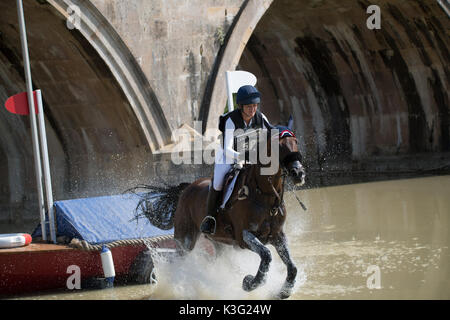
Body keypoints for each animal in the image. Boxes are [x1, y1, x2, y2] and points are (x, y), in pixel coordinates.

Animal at [135, 125, 306, 300]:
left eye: (296, 142)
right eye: (279, 147)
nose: (299, 173)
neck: (264, 196)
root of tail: (186, 188)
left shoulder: (278, 235)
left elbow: (292, 267)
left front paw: (284, 291)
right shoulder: (244, 236)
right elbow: (266, 255)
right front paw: (249, 282)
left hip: (219, 241)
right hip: (185, 239)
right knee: (178, 261)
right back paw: (178, 287)